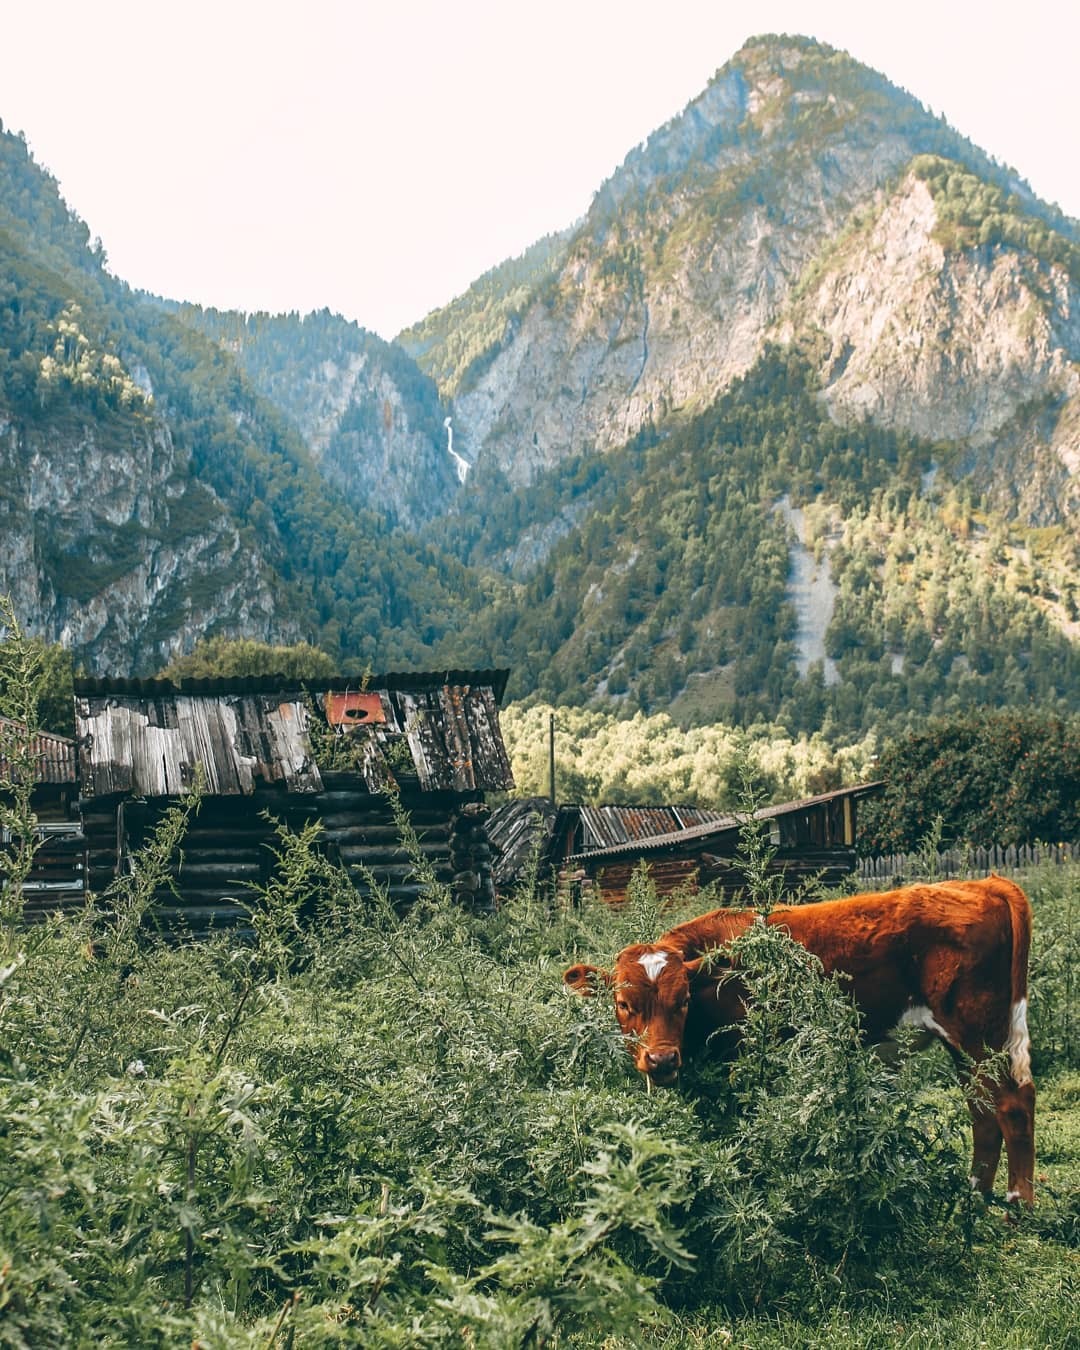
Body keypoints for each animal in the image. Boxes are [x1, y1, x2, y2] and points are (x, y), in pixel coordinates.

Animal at [564, 880, 1036, 1209]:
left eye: (682, 1001)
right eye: (623, 1004)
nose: (661, 1059)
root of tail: (986, 884)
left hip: (978, 1035)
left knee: (1011, 1105)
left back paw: (1016, 1204)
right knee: (983, 1111)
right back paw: (974, 1196)